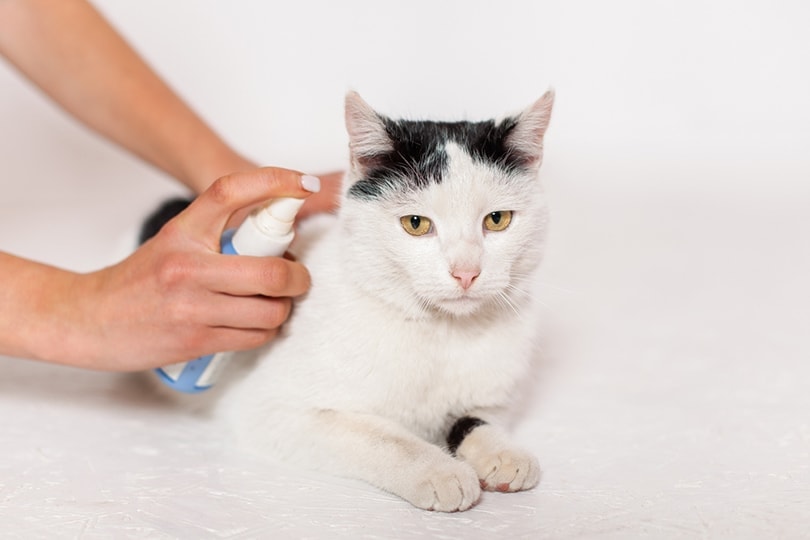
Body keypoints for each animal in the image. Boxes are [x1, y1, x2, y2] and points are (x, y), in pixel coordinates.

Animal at [142, 90, 552, 512]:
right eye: (416, 224)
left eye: (498, 220)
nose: (466, 272)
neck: (442, 331)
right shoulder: (271, 409)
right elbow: (382, 438)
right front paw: (439, 471)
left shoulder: (495, 400)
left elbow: (476, 419)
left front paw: (502, 452)